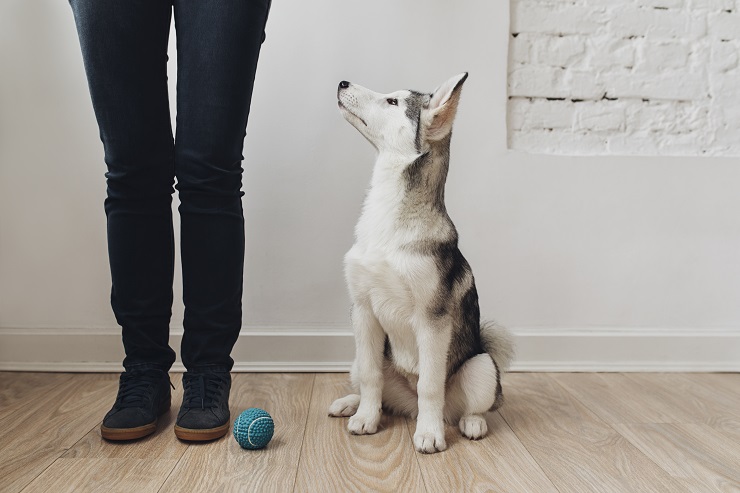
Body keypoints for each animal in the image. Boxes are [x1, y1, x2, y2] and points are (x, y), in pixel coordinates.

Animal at [330, 73, 516, 454]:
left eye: (393, 102)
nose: (342, 82)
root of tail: (408, 407)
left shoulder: (432, 321)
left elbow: (430, 385)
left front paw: (429, 434)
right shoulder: (363, 311)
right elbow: (371, 376)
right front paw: (366, 418)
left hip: (481, 366)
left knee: (467, 406)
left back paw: (470, 423)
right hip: (361, 359)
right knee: (377, 390)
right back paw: (351, 404)